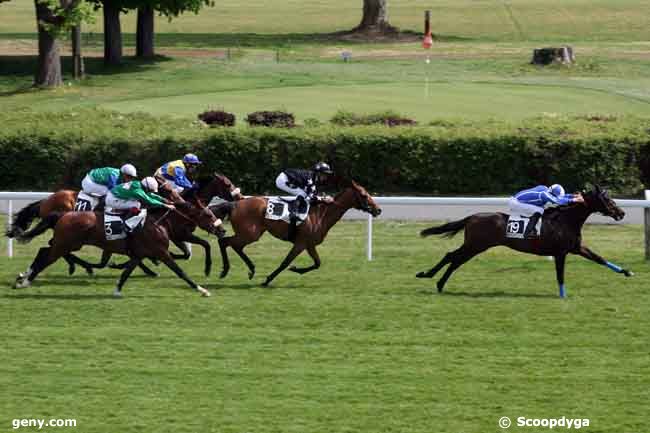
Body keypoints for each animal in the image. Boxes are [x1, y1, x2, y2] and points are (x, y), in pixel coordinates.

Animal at [13, 201, 223, 296]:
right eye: (208, 214)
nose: (221, 229)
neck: (158, 223)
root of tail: (63, 215)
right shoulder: (161, 252)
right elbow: (180, 271)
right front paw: (201, 289)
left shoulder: (139, 255)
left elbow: (126, 272)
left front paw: (117, 290)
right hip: (65, 244)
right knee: (46, 257)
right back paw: (26, 281)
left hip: (64, 244)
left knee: (43, 251)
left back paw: (23, 277)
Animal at [215, 179, 382, 286]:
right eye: (364, 195)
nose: (378, 210)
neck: (320, 215)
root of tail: (235, 204)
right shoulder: (301, 243)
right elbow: (285, 262)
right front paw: (268, 280)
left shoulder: (310, 245)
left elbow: (317, 263)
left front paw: (297, 270)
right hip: (250, 234)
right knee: (225, 241)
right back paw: (226, 270)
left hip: (250, 234)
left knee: (235, 246)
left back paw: (250, 269)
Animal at [412, 186, 632, 296]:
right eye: (607, 199)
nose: (621, 213)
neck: (565, 220)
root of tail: (472, 217)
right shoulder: (560, 253)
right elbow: (560, 276)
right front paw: (563, 296)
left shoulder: (576, 248)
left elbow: (599, 258)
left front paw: (627, 272)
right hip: (476, 245)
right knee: (452, 256)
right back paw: (428, 276)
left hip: (475, 246)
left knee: (455, 260)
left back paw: (438, 283)